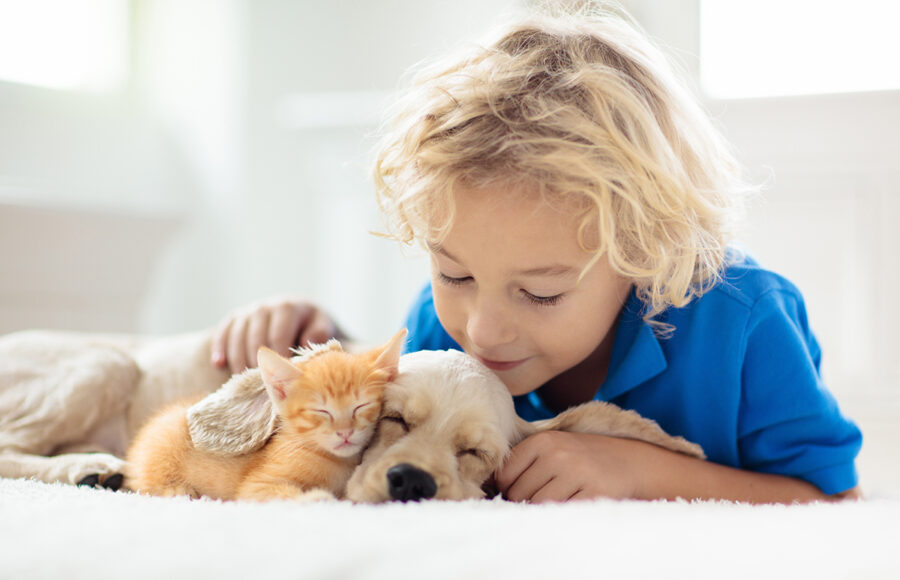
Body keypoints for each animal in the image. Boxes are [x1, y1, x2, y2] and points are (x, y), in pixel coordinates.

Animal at [124, 328, 404, 500]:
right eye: (321, 411)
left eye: (361, 406)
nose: (345, 432)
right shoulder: (256, 486)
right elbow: (283, 494)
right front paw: (318, 498)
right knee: (144, 485)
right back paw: (176, 490)